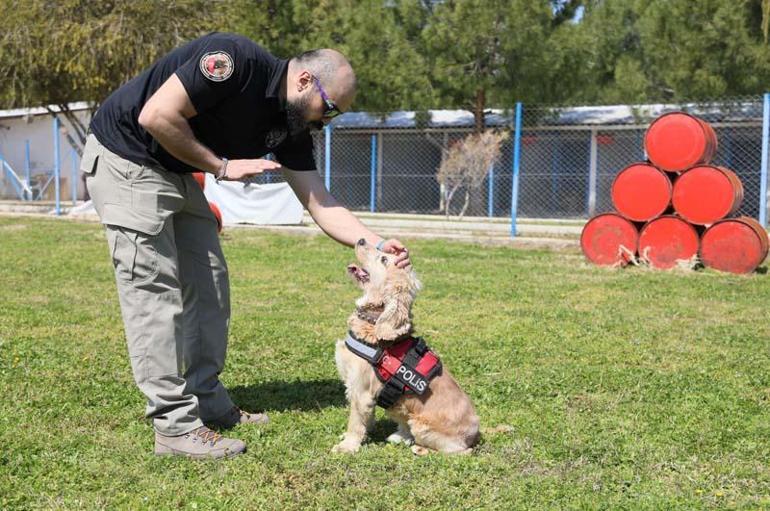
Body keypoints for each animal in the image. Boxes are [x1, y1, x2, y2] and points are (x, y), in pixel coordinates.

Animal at [332, 237, 476, 456]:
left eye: (383, 259)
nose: (361, 239)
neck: (373, 323)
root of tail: (474, 435)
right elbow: (367, 418)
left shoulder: (361, 389)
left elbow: (355, 422)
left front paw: (347, 446)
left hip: (423, 425)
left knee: (457, 452)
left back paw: (420, 448)